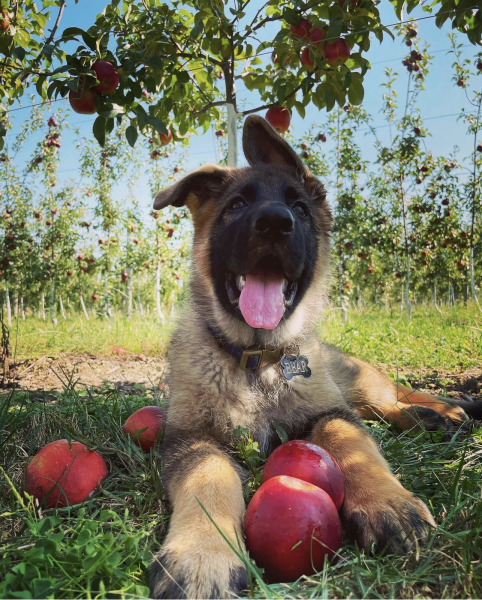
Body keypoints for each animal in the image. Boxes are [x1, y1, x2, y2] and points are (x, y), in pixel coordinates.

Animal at [149, 115, 480, 596]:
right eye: (236, 205)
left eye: (302, 210)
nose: (274, 223)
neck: (258, 360)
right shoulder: (191, 438)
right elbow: (208, 477)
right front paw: (202, 555)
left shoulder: (329, 410)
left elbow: (350, 440)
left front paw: (387, 502)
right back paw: (428, 419)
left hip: (357, 378)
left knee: (390, 397)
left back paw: (442, 411)